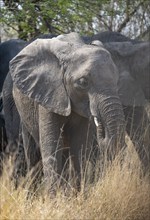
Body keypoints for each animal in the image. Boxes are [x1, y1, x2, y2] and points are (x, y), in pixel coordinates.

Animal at [9, 32, 126, 192]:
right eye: (83, 82)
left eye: (117, 80)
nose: (101, 126)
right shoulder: (49, 91)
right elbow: (51, 149)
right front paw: (54, 198)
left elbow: (79, 148)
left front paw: (77, 195)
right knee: (31, 153)